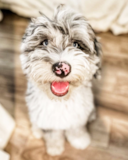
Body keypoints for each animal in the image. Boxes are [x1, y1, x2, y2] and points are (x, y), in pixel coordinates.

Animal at [20, 4, 102, 156]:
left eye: (76, 45)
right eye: (45, 42)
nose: (62, 68)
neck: (60, 100)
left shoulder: (78, 115)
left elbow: (76, 128)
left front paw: (80, 140)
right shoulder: (47, 119)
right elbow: (53, 133)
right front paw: (55, 147)